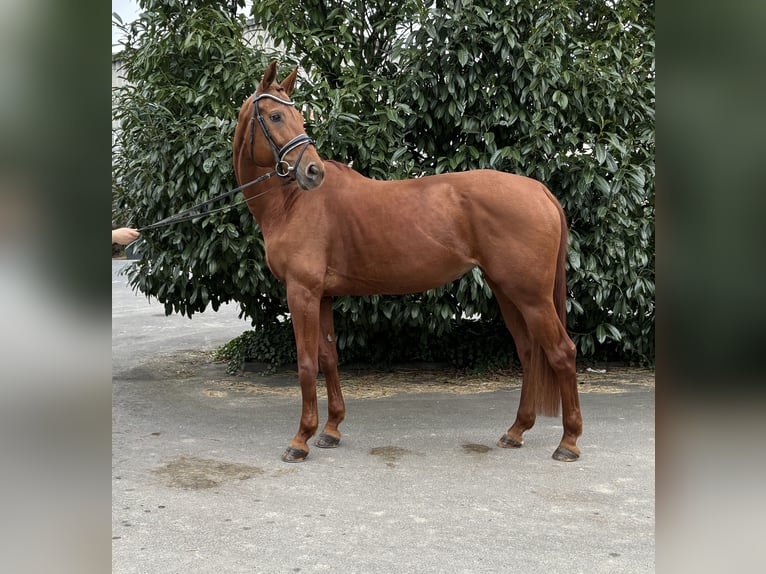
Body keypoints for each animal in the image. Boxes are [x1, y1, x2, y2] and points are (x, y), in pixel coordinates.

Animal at [232, 62, 584, 464]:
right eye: (276, 116)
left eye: (298, 117)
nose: (313, 172)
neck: (292, 205)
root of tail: (539, 190)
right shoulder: (321, 296)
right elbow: (328, 358)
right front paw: (331, 429)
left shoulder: (301, 293)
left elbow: (307, 365)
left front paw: (301, 439)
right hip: (508, 292)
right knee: (528, 352)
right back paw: (516, 431)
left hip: (532, 297)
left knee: (562, 352)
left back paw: (569, 442)